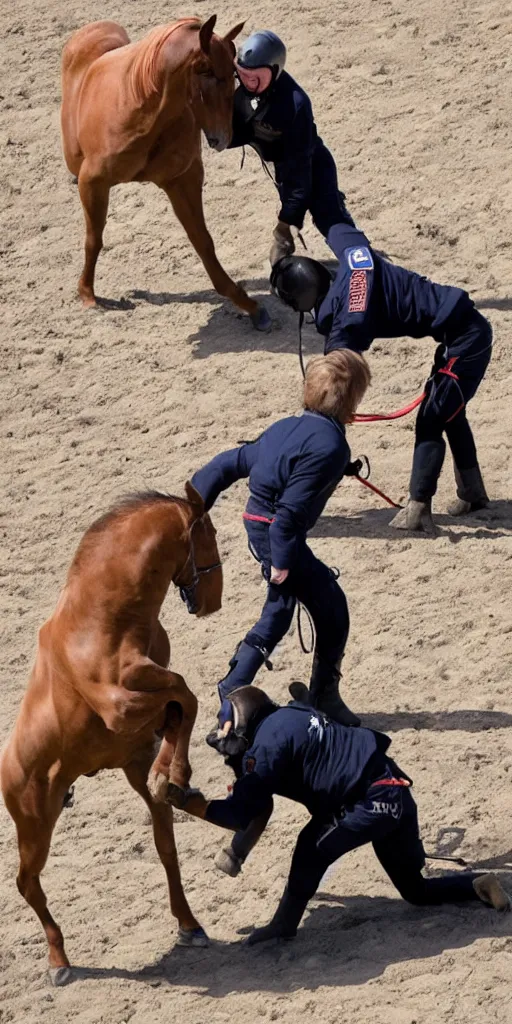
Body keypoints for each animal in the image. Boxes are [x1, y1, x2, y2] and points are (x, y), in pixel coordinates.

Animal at [0, 484, 222, 986]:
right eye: (212, 537)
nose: (214, 601)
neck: (101, 619)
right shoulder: (121, 708)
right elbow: (185, 695)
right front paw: (174, 772)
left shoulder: (139, 722)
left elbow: (180, 703)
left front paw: (171, 775)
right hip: (35, 828)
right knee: (27, 884)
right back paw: (59, 962)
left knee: (165, 847)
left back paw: (190, 924)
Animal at [60, 15, 269, 329]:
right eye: (205, 70)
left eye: (234, 72)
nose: (223, 137)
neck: (144, 112)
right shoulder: (92, 183)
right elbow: (93, 240)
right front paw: (87, 294)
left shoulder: (182, 180)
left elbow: (203, 241)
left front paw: (250, 306)